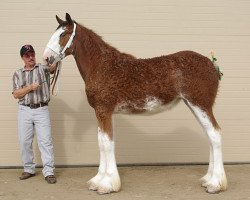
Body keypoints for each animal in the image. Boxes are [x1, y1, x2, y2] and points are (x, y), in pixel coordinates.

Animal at [43, 13, 229, 195]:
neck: (101, 66)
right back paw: (207, 179)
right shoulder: (101, 112)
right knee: (210, 136)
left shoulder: (104, 111)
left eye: (62, 34)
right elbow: (101, 142)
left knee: (215, 134)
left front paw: (107, 185)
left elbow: (106, 143)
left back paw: (215, 184)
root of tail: (212, 65)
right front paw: (97, 181)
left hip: (200, 105)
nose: (46, 59)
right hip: (195, 106)